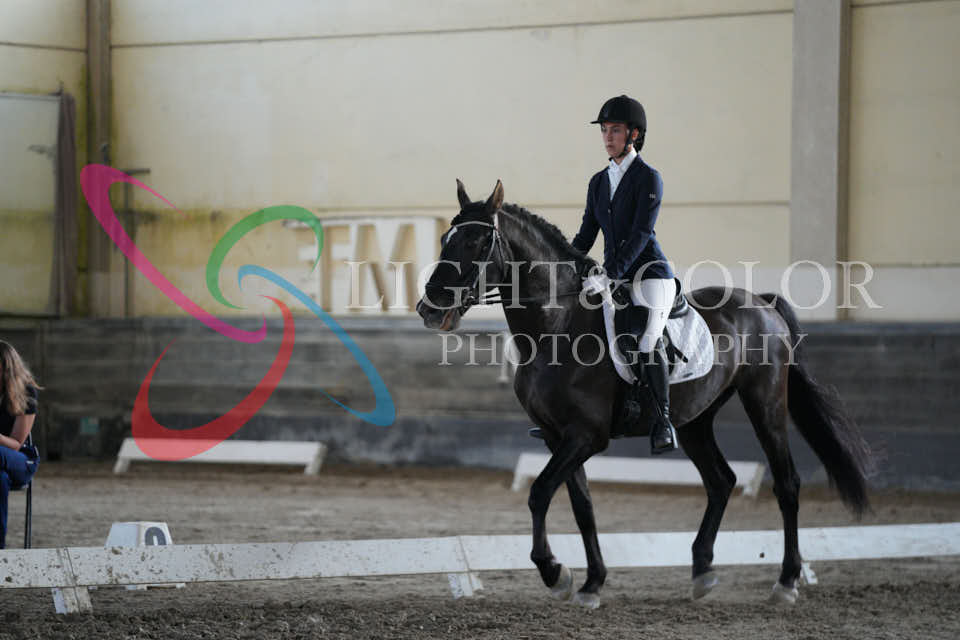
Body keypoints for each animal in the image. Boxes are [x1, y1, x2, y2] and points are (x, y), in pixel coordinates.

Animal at [416, 180, 874, 608]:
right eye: (444, 240)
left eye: (477, 242)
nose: (429, 309)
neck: (557, 328)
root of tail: (762, 304)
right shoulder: (555, 436)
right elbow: (582, 507)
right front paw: (591, 582)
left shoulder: (585, 435)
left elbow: (540, 492)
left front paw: (554, 572)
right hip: (695, 419)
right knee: (721, 481)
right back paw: (702, 572)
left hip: (765, 402)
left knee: (786, 483)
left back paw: (786, 582)